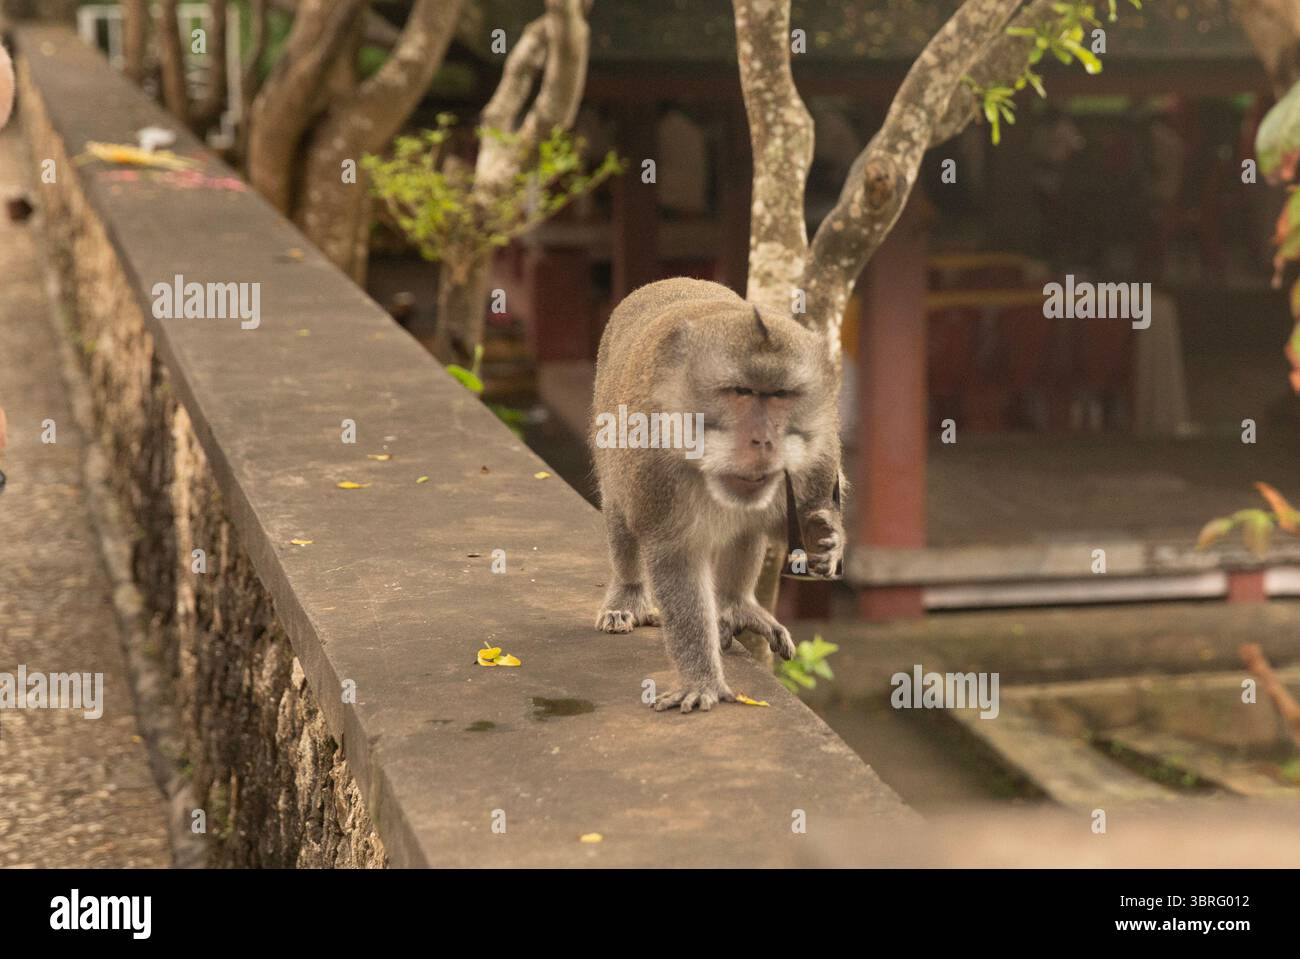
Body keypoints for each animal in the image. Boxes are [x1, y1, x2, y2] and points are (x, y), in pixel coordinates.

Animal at [590, 277, 845, 713]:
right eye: (740, 392)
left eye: (781, 395)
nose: (763, 440)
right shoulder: (655, 466)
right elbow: (675, 555)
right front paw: (701, 680)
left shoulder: (820, 451)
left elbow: (796, 515)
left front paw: (826, 536)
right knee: (621, 512)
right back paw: (628, 596)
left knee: (748, 527)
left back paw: (734, 603)